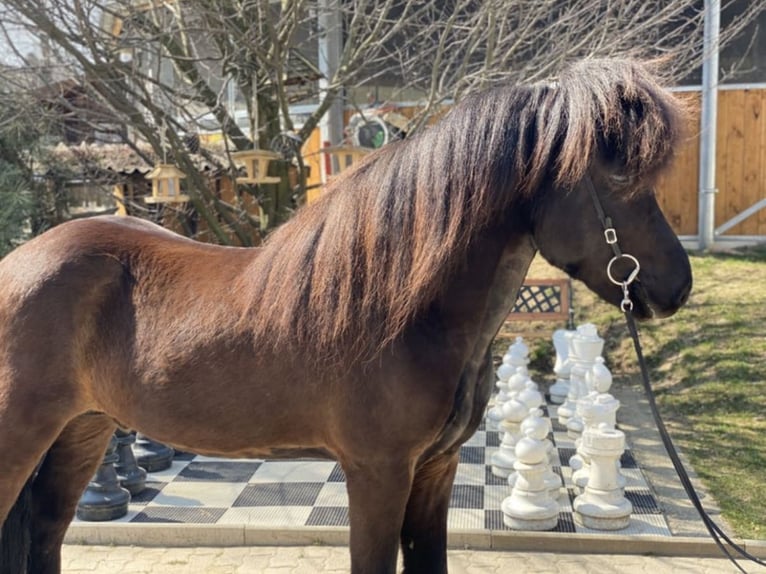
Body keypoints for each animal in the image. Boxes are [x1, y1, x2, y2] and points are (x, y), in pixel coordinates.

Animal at [0, 58, 692, 574]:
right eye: (617, 174)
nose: (677, 287)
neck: (406, 311)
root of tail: (20, 261)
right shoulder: (376, 474)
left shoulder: (435, 471)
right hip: (25, 436)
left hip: (82, 430)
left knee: (44, 535)